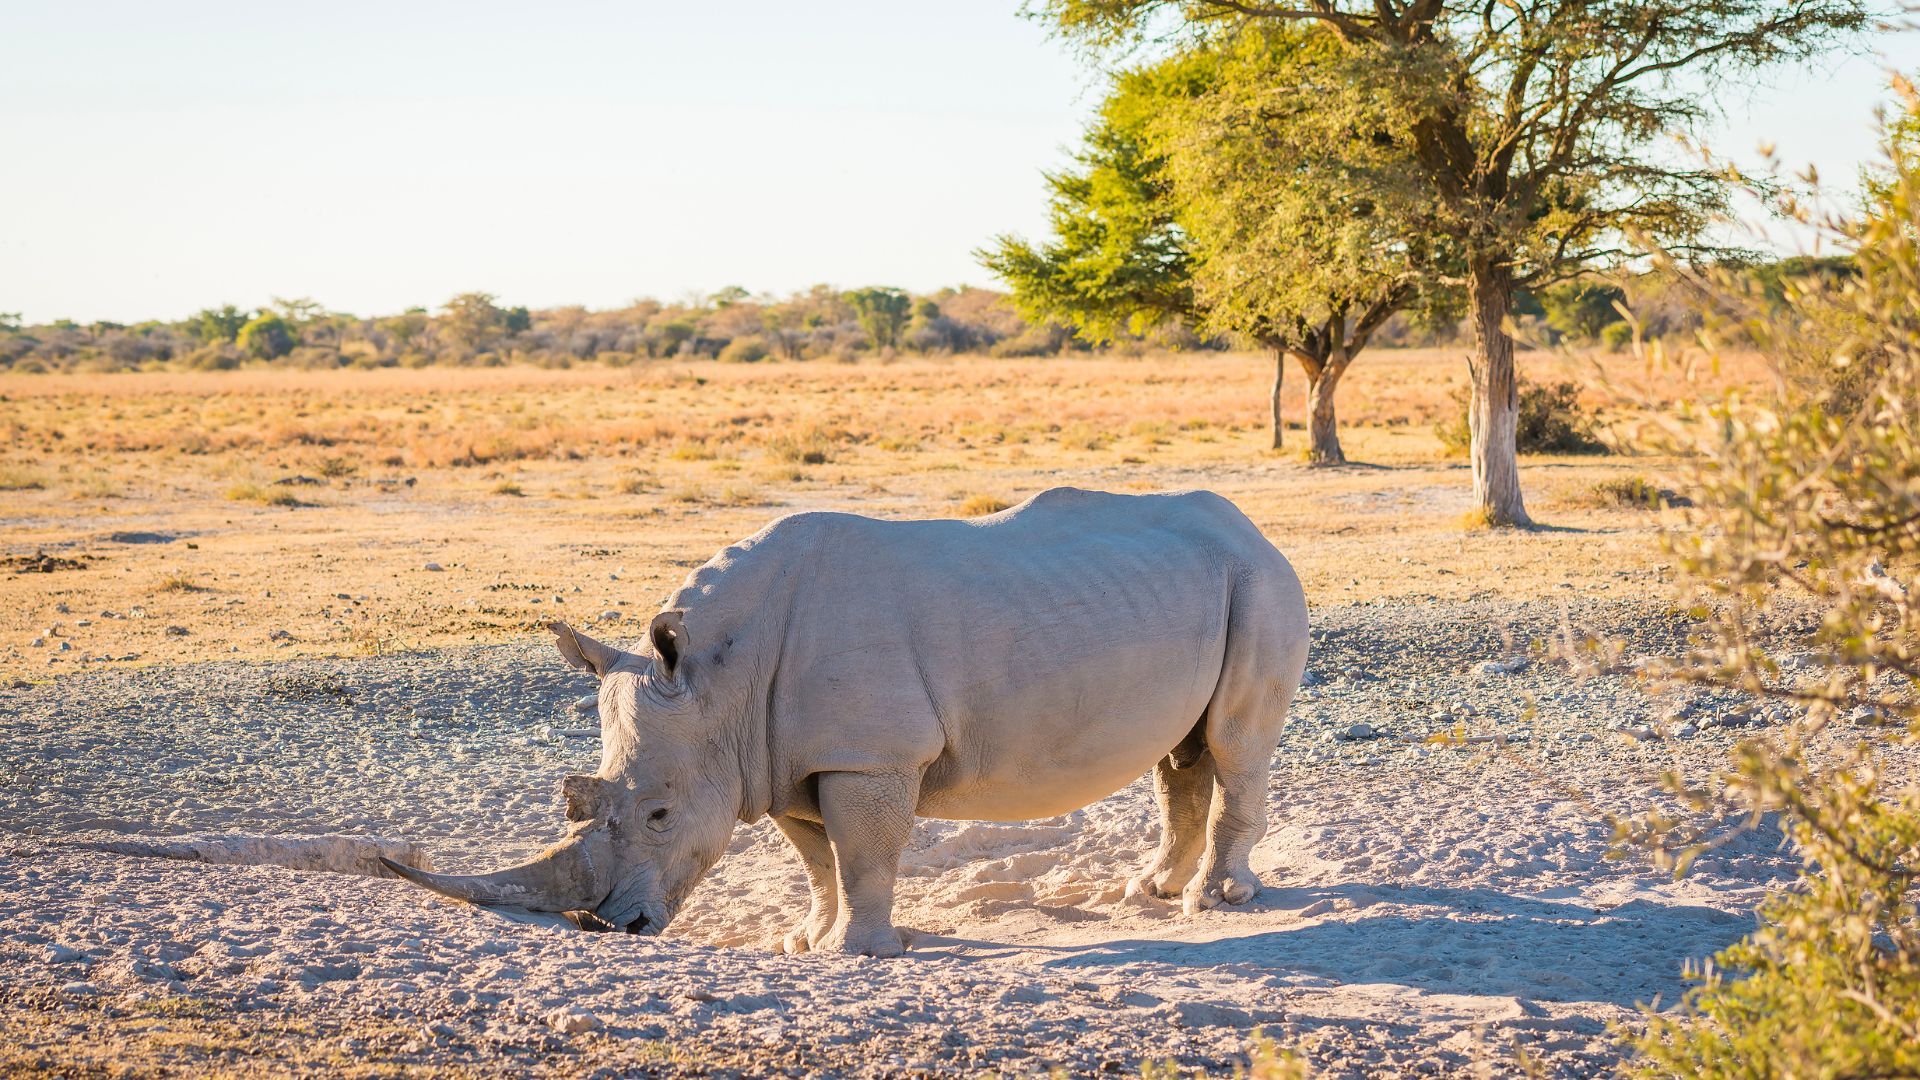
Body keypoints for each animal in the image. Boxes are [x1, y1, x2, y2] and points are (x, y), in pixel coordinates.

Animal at [382, 487, 1309, 956]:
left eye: (660, 814)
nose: (608, 927)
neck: (722, 677)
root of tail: (1249, 524)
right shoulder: (779, 759)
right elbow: (817, 860)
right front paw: (806, 942)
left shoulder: (869, 754)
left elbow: (863, 854)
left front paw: (858, 953)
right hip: (1201, 582)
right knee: (1181, 757)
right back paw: (1150, 892)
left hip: (1260, 581)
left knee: (1234, 745)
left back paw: (1212, 903)